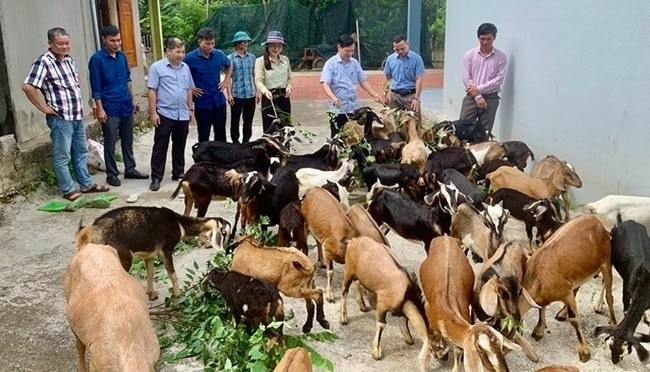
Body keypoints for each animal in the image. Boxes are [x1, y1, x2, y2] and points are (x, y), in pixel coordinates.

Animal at [80, 205, 229, 300]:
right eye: (224, 232)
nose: (227, 250)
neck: (179, 223)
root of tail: (89, 233)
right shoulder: (166, 249)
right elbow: (172, 273)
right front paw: (178, 294)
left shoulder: (149, 254)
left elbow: (150, 272)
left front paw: (151, 294)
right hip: (123, 258)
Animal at [420, 235, 520, 372]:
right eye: (482, 350)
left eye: (500, 345)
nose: (503, 370)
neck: (444, 312)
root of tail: (445, 237)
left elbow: (458, 350)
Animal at [512, 214, 616, 362]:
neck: (538, 276)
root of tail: (598, 222)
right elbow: (541, 308)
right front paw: (539, 330)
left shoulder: (565, 292)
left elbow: (574, 320)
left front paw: (584, 352)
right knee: (578, 287)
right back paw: (562, 313)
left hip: (606, 262)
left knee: (609, 295)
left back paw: (613, 323)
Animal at [588, 217, 648, 364]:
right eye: (610, 344)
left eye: (624, 351)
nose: (614, 361)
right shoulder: (627, 292)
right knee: (605, 280)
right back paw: (598, 305)